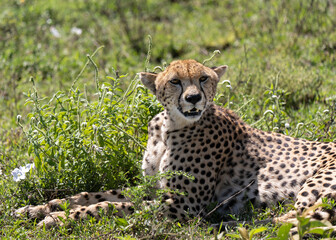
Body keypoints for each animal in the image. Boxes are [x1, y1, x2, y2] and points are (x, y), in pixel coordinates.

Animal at [15, 59, 336, 230]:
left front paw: (57, 218)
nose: (193, 98)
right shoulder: (153, 187)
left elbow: (111, 206)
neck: (169, 128)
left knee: (303, 216)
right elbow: (92, 195)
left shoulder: (184, 204)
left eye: (203, 78)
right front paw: (39, 209)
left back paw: (246, 222)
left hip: (316, 183)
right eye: (175, 81)